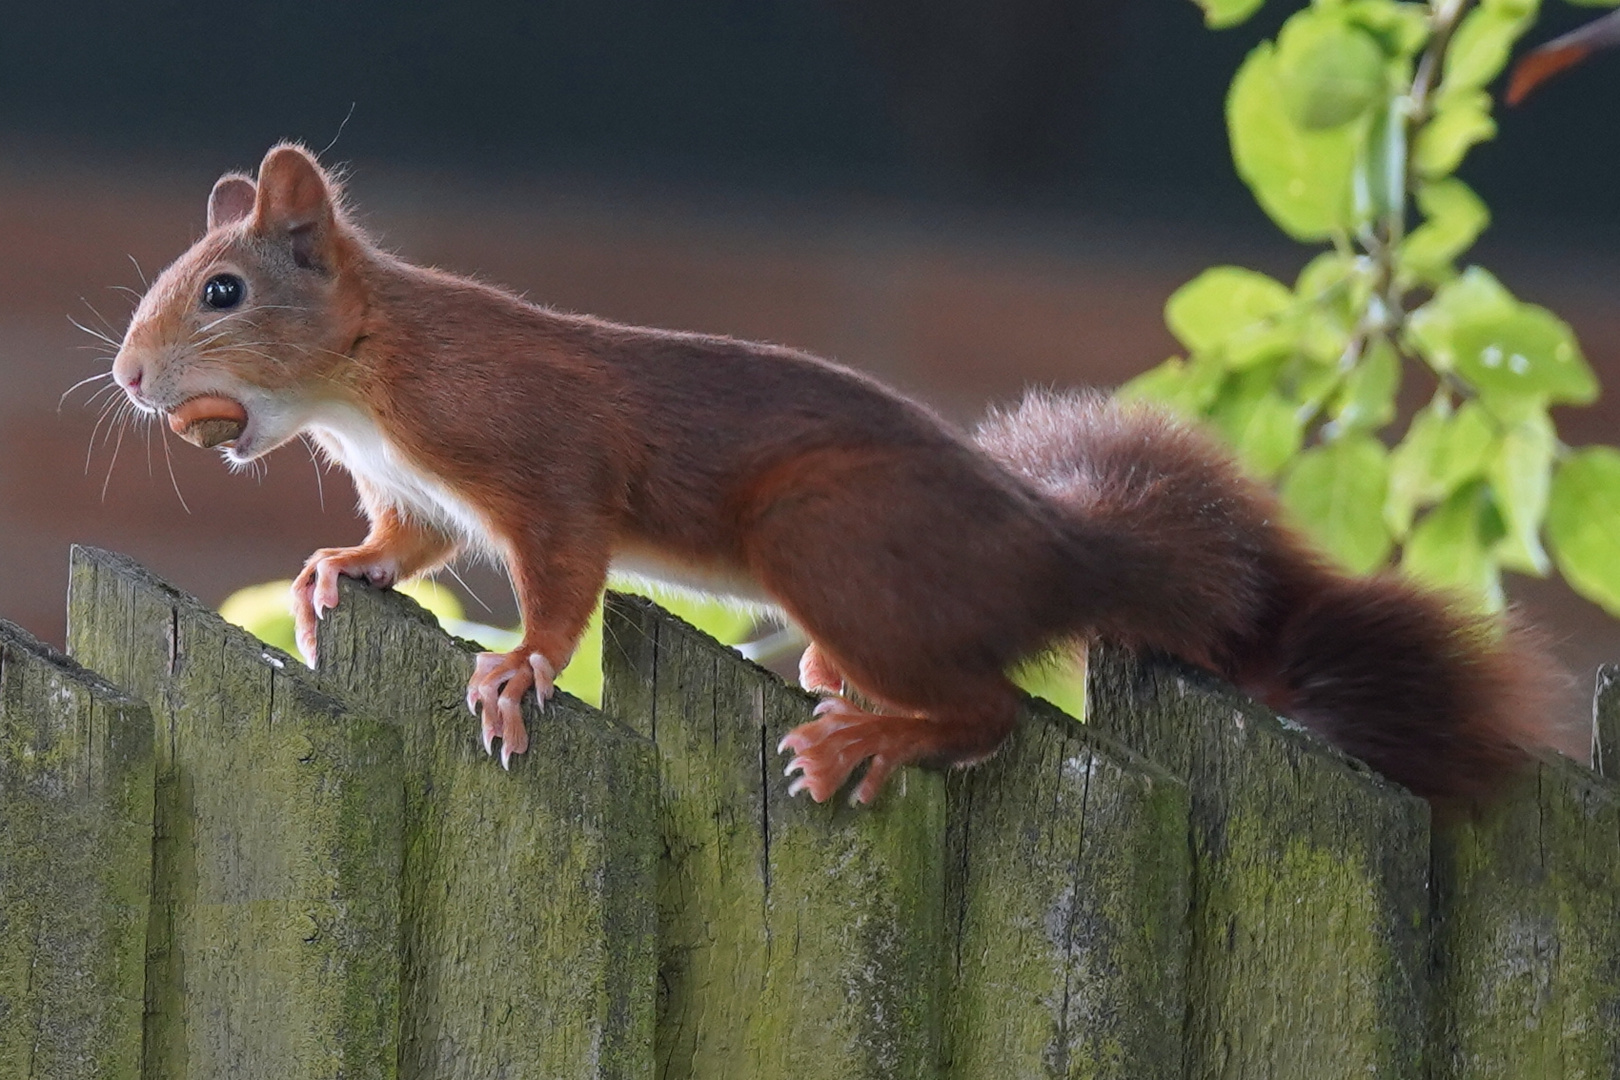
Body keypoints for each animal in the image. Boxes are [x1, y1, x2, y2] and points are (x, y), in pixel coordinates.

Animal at [110, 143, 1555, 803]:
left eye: (223, 291)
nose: (126, 380)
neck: (366, 379)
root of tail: (1062, 552)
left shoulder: (538, 455)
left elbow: (564, 570)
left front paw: (519, 669)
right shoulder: (413, 489)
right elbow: (400, 547)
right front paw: (330, 573)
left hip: (828, 534)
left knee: (992, 713)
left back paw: (869, 733)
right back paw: (837, 683)